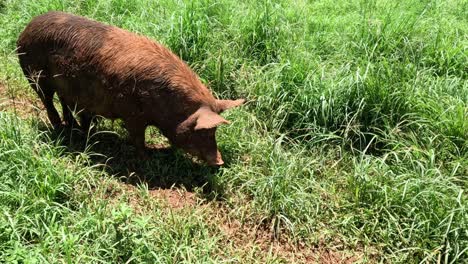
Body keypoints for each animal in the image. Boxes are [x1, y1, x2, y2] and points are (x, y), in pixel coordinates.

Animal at [17, 12, 245, 166]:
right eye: (204, 132)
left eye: (214, 131)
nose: (220, 162)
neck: (167, 105)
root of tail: (26, 28)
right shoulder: (132, 114)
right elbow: (137, 138)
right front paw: (147, 159)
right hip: (34, 75)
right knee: (47, 101)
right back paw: (60, 129)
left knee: (65, 102)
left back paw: (75, 128)